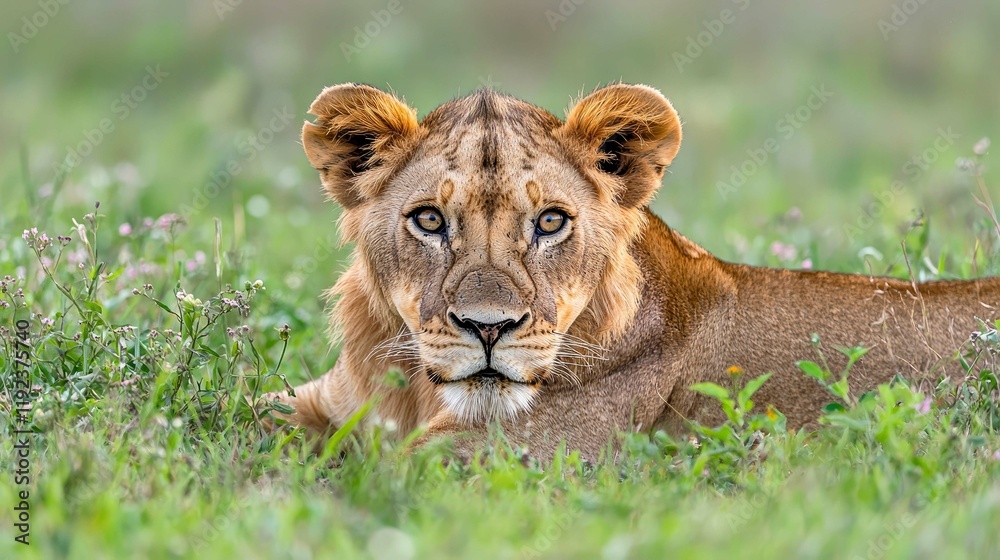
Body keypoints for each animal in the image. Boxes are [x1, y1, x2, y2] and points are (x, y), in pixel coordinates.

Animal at [263, 82, 1000, 460]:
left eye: (550, 222)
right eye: (429, 220)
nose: (487, 328)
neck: (415, 392)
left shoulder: (500, 459)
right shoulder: (321, 403)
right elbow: (245, 413)